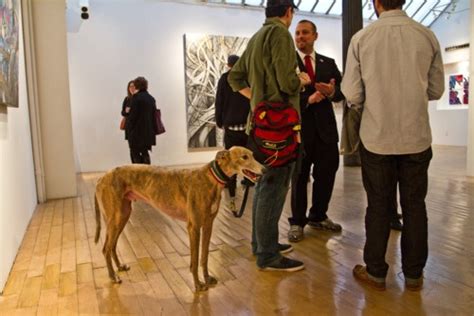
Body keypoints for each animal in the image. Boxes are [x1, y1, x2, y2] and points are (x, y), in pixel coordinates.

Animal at [94, 146, 264, 292]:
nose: (265, 169)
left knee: (112, 246)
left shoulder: (208, 225)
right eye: (244, 157)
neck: (211, 178)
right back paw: (113, 276)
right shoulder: (193, 227)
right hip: (115, 218)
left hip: (122, 216)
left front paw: (207, 279)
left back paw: (119, 268)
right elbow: (194, 260)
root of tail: (102, 178)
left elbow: (204, 257)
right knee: (105, 248)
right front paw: (198, 284)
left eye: (253, 155)